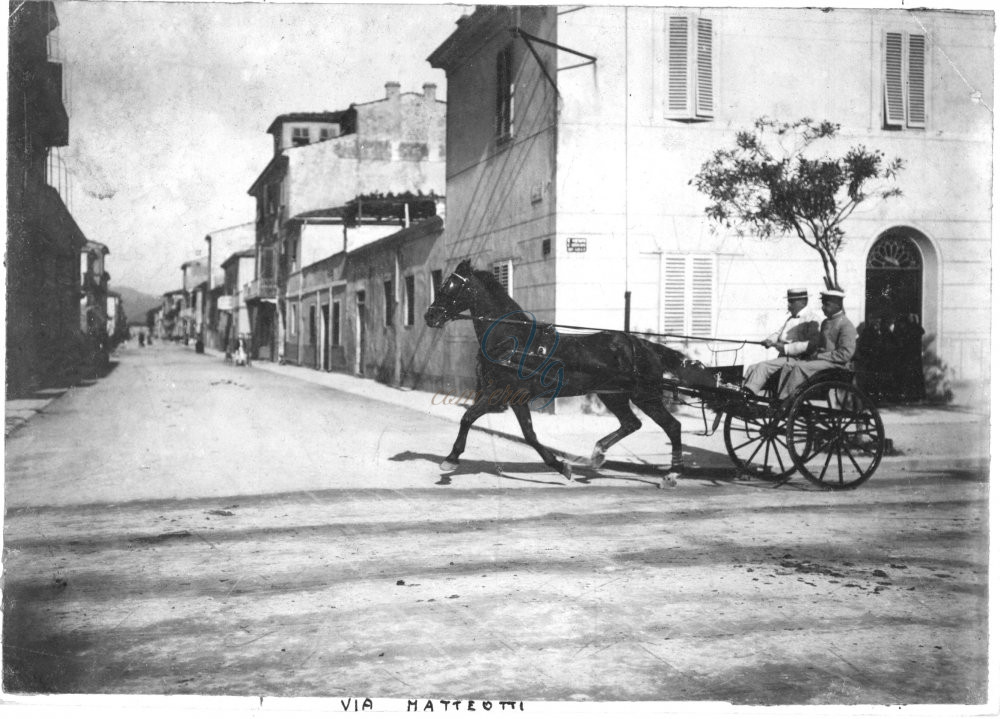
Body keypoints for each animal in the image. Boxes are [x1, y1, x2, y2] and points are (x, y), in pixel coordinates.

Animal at [420, 258, 688, 484]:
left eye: (451, 286)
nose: (430, 315)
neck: (512, 339)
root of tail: (645, 345)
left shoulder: (504, 394)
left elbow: (482, 421)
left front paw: (450, 459)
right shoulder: (510, 397)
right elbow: (519, 431)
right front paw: (561, 465)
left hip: (645, 395)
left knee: (672, 426)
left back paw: (672, 473)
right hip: (613, 395)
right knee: (632, 423)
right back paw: (597, 454)